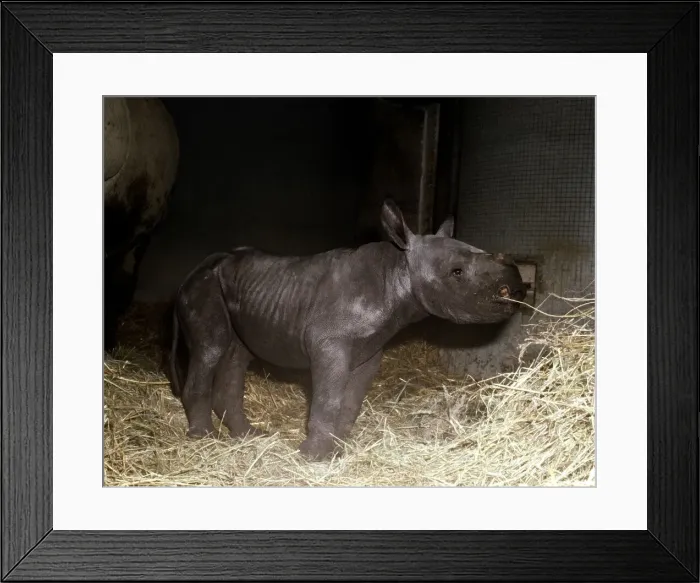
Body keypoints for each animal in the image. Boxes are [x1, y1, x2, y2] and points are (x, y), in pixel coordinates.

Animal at [167, 199, 526, 460]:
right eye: (457, 272)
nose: (515, 289)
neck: (398, 271)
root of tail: (192, 272)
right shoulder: (330, 343)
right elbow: (328, 398)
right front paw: (312, 457)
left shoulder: (369, 349)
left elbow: (350, 401)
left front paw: (336, 451)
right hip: (205, 287)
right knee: (212, 347)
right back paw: (204, 438)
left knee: (236, 355)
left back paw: (247, 436)